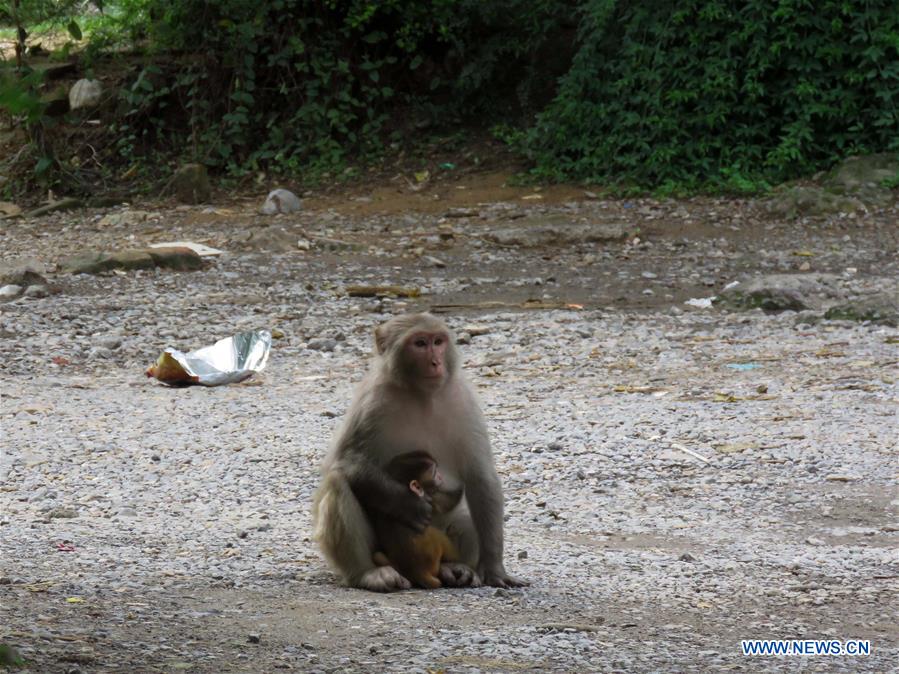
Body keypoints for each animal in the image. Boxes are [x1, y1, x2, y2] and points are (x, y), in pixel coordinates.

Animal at [370, 451, 464, 589]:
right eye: (434, 473)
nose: (440, 476)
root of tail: (419, 573)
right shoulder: (427, 499)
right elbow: (445, 503)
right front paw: (462, 487)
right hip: (434, 559)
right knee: (440, 537)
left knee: (377, 555)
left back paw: (404, 581)